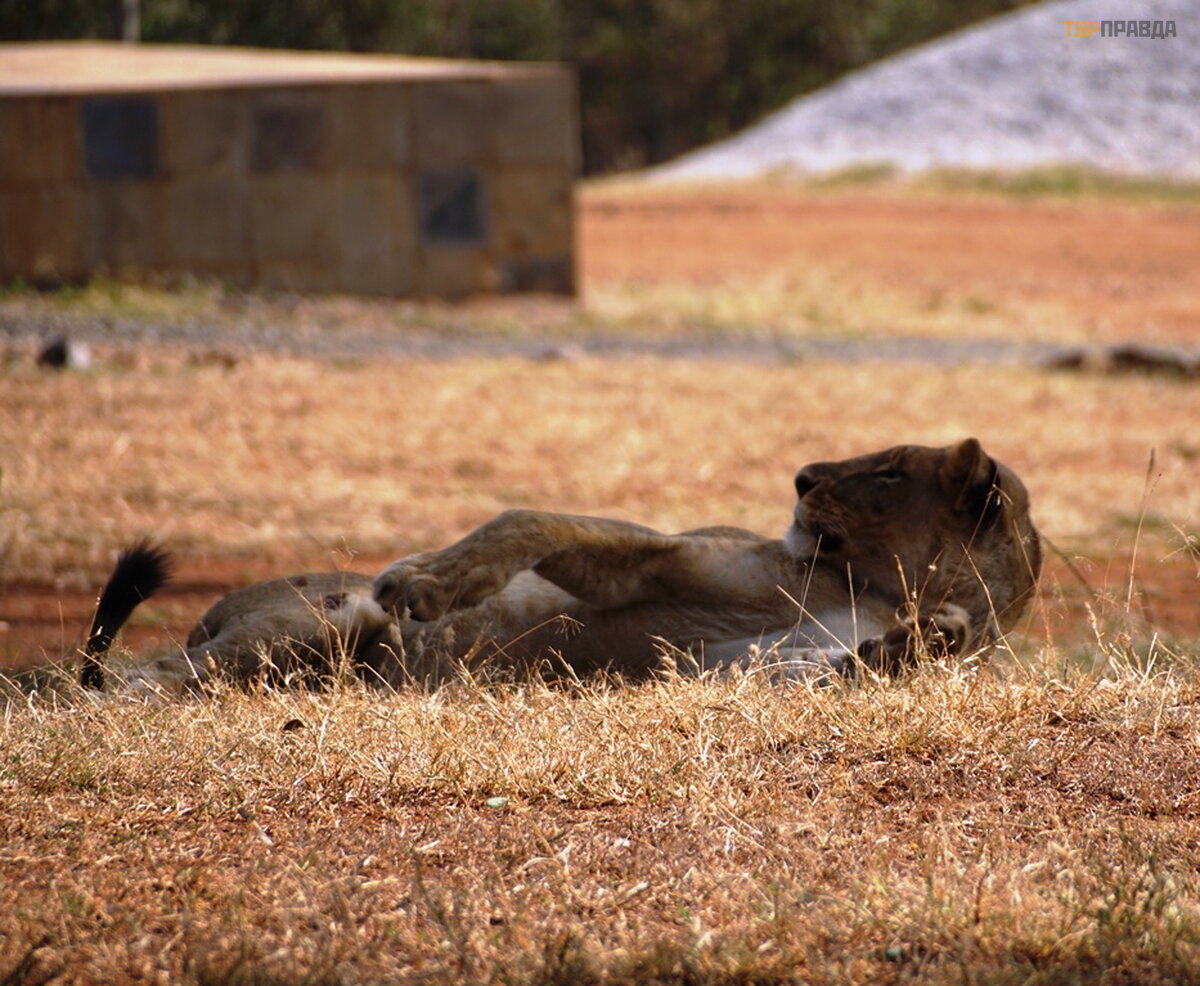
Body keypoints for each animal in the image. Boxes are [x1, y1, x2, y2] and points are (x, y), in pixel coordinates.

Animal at [82, 438, 1041, 692]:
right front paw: (425, 580)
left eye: (890, 470)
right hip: (315, 621)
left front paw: (928, 641)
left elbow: (855, 664)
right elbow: (527, 518)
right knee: (144, 672)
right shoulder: (662, 563)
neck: (882, 588)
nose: (802, 477)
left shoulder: (748, 670)